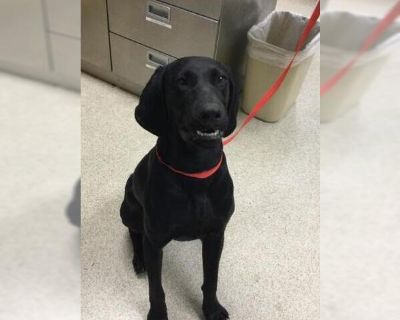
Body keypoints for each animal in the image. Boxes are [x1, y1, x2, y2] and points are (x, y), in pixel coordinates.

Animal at [120, 57, 239, 320]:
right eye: (182, 81)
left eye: (220, 79)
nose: (211, 113)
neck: (195, 171)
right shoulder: (155, 241)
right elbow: (156, 288)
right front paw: (157, 314)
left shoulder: (216, 235)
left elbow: (211, 279)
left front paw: (212, 309)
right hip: (129, 211)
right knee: (134, 233)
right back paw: (139, 259)